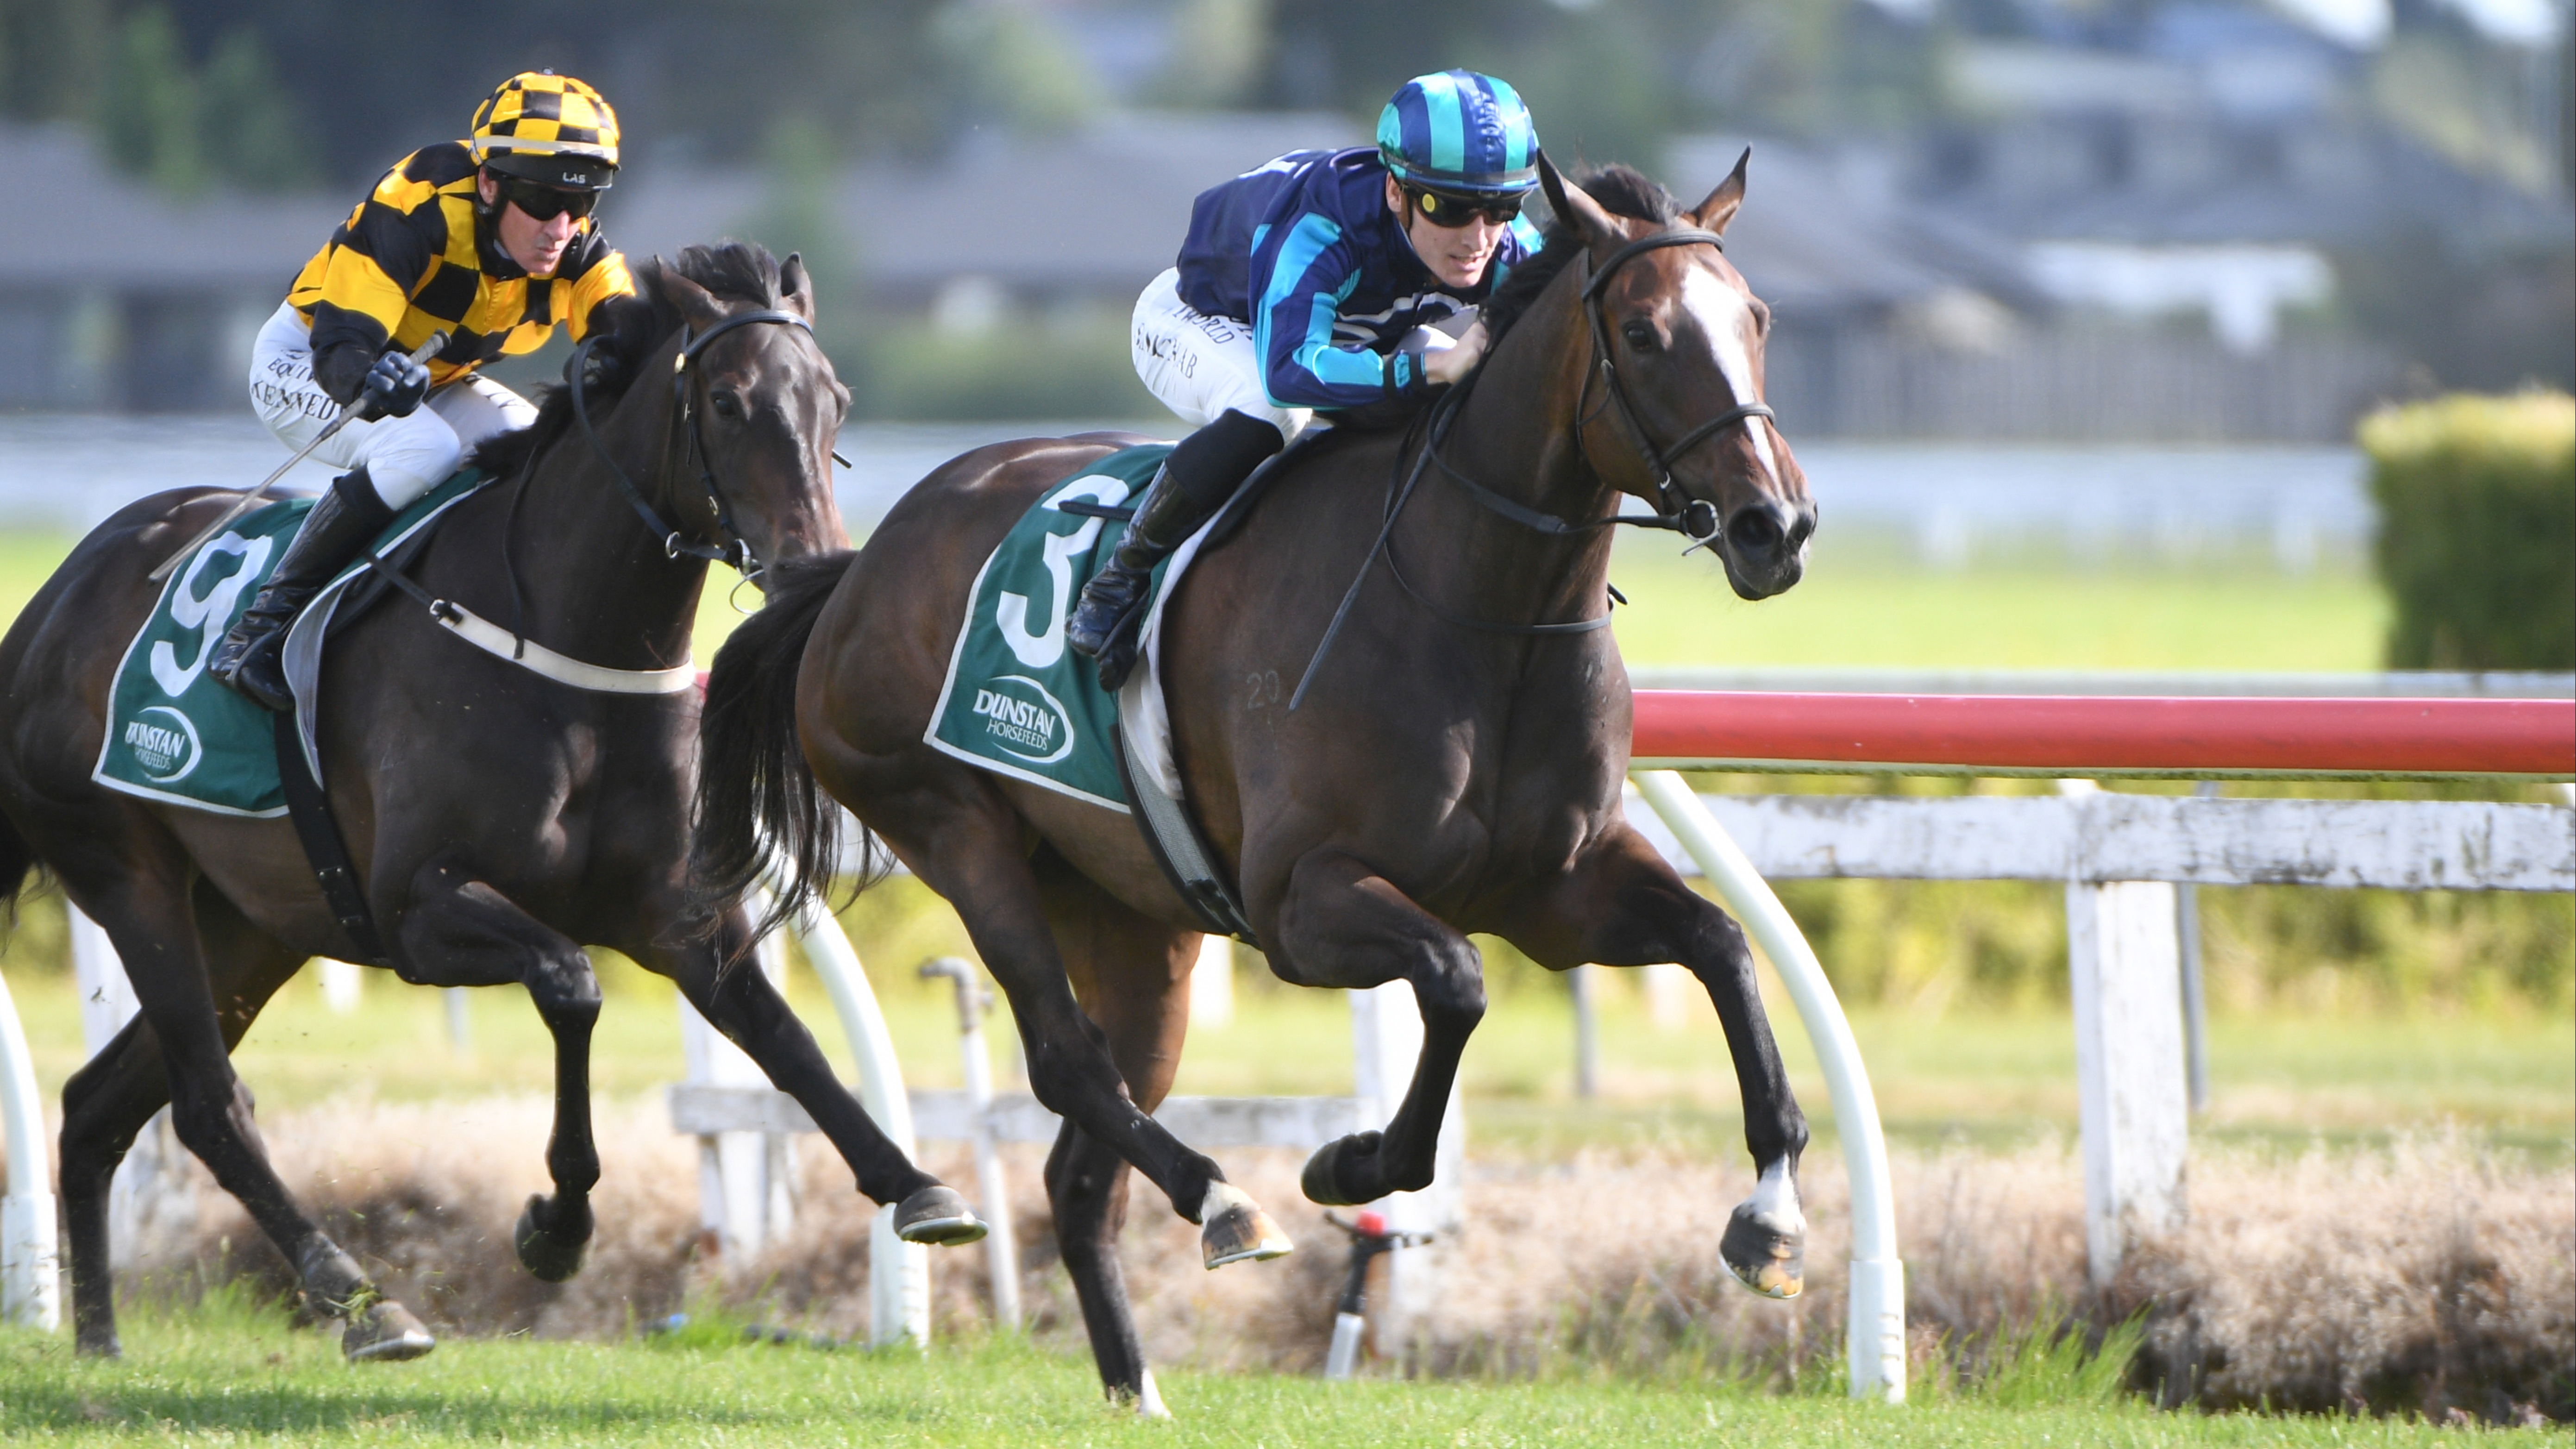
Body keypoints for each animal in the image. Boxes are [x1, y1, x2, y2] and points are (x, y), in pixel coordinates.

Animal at [0, 242, 980, 1362]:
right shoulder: (417, 911)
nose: (815, 562)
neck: (566, 643)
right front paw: (556, 1225)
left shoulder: (677, 911)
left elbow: (787, 1038)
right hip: (132, 877)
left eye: (835, 400)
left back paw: (99, 1340)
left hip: (250, 927)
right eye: (729, 401)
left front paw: (916, 1186)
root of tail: (49, 605)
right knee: (207, 1103)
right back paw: (360, 1297)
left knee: (98, 1104)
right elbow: (572, 986)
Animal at [692, 156, 1817, 1407]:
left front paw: (1770, 1219)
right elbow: (1457, 980)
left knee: (1083, 1162)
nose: (1776, 525)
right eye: (1643, 330)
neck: (1473, 600)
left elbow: (1722, 945)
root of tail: (854, 573)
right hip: (951, 827)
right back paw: (1223, 1201)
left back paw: (1138, 1384)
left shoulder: (1559, 892)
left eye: (1756, 319)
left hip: (1134, 922)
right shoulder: (1299, 903)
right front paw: (1352, 1162)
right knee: (1065, 1058)